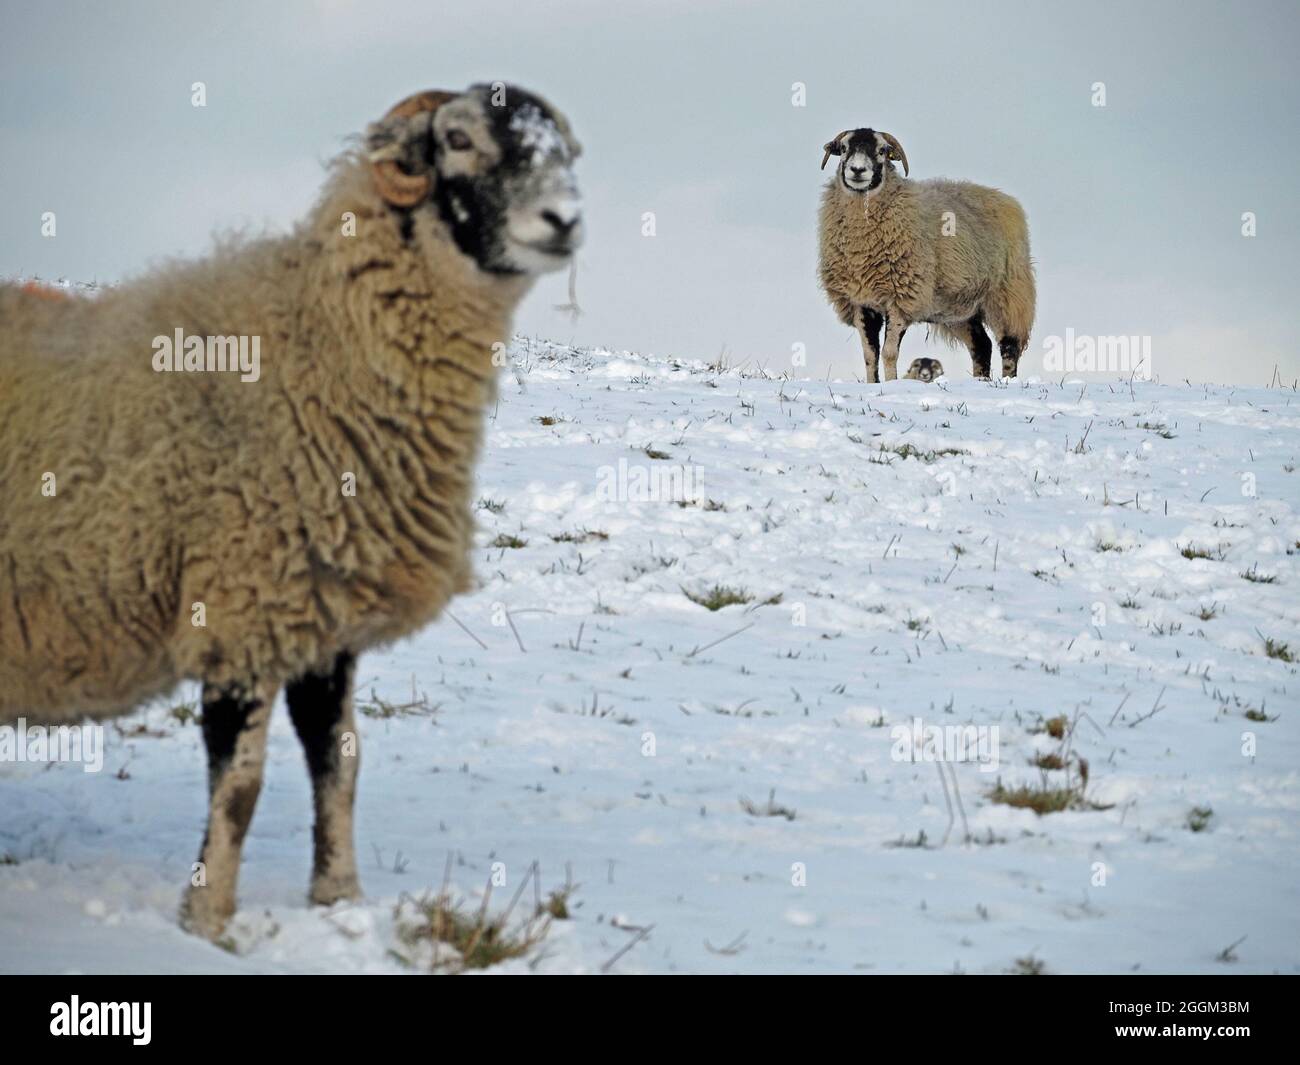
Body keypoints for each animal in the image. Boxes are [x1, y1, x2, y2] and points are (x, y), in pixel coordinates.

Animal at [0, 83, 583, 939]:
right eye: (460, 139)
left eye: (565, 150)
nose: (566, 218)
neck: (319, 348)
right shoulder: (240, 606)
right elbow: (240, 785)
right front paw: (207, 921)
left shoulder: (321, 614)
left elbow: (340, 761)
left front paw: (339, 898)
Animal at [817, 128, 1034, 382]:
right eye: (843, 149)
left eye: (882, 150)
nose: (858, 170)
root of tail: (1004, 198)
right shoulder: (861, 302)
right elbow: (870, 354)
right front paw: (873, 384)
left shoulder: (901, 299)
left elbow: (889, 353)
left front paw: (891, 384)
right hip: (959, 310)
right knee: (982, 346)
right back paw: (981, 380)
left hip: (1009, 294)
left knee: (1010, 345)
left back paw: (1008, 379)